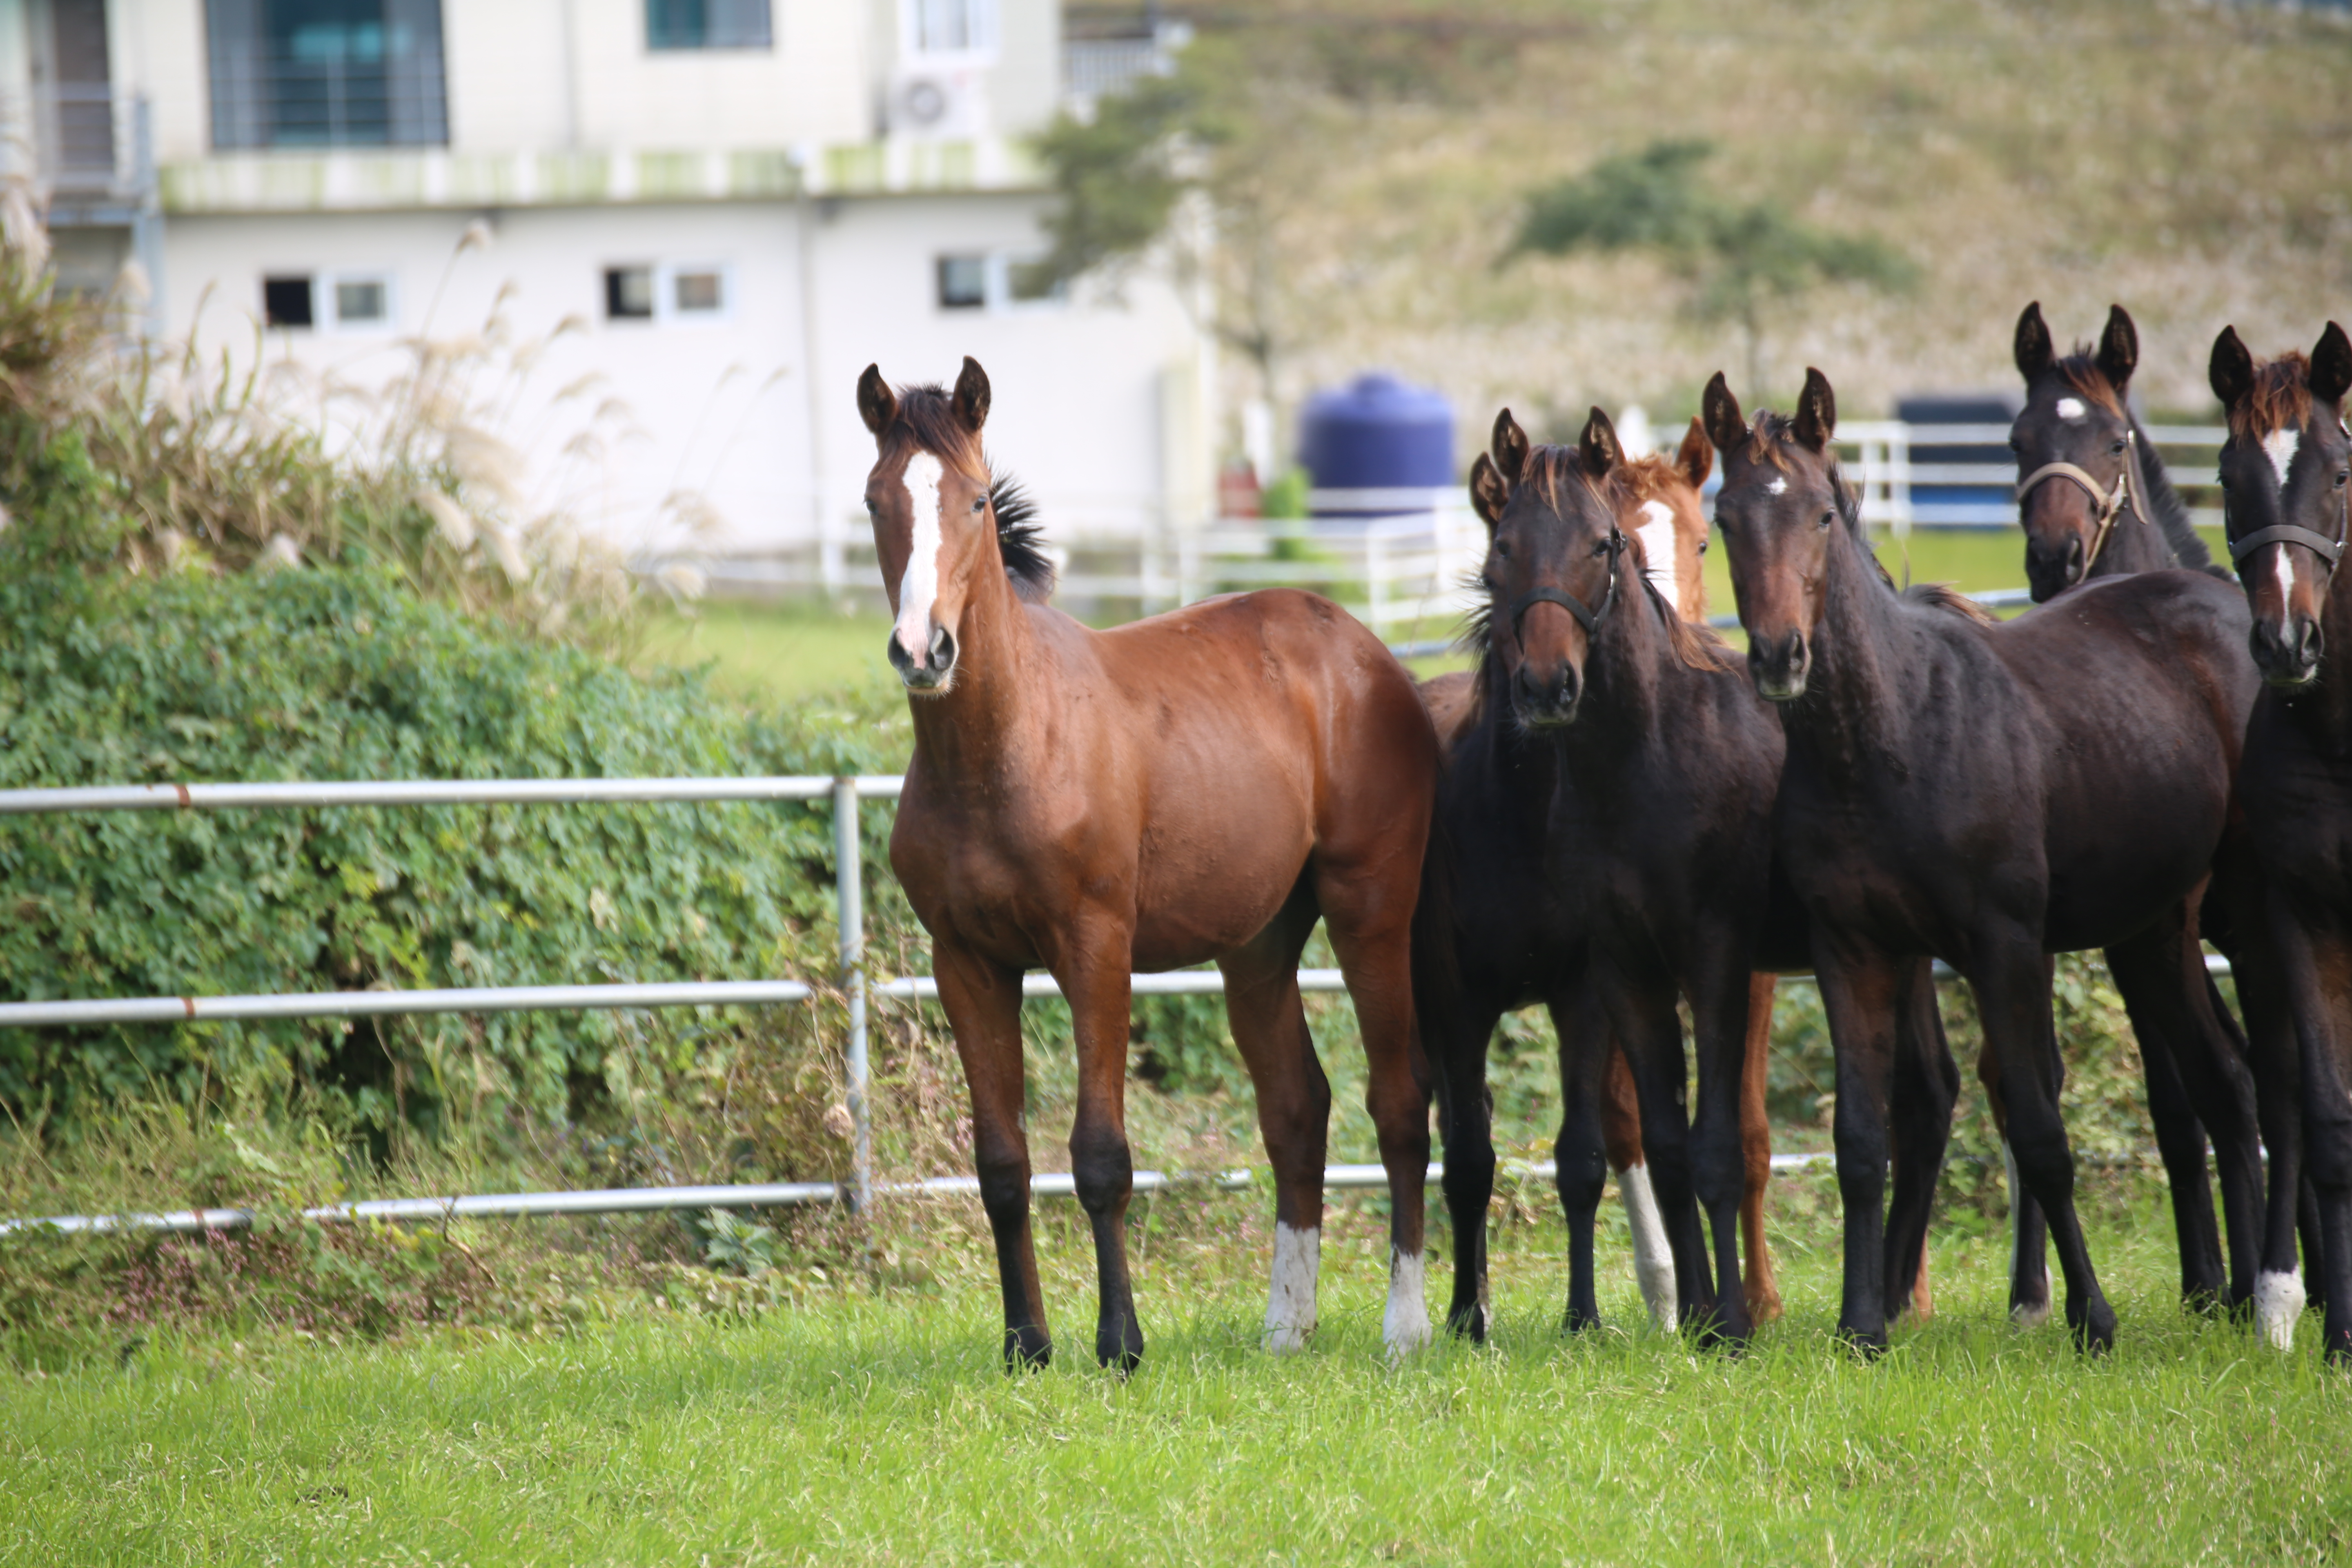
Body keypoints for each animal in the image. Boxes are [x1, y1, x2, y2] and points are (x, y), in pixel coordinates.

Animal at [865, 362, 1439, 1363]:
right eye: (874, 502)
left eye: (975, 500)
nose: (922, 649)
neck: (1006, 750)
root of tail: (1364, 650)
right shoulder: (967, 964)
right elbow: (1002, 1161)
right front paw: (1027, 1346)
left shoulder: (1095, 951)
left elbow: (1100, 1155)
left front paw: (1120, 1343)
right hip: (1257, 946)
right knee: (1297, 1109)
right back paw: (1286, 1327)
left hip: (1371, 911)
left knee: (1399, 1101)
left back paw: (1403, 1327)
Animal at [1712, 364, 2258, 1354]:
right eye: (1726, 517)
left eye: (1820, 512)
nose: (1778, 657)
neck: (1893, 733)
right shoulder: (1854, 952)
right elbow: (1862, 1141)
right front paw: (1862, 1327)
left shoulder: (2003, 949)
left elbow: (2039, 1132)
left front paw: (2089, 1317)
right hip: (2153, 931)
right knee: (2225, 1083)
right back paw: (2241, 1300)